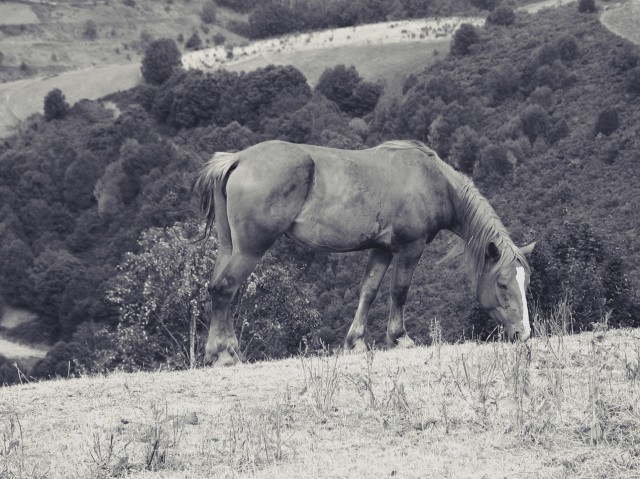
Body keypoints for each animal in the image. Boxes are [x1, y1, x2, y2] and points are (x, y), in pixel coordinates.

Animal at [194, 140, 536, 368]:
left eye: (526, 283)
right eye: (503, 284)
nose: (524, 333)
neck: (432, 179)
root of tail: (237, 158)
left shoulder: (381, 249)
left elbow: (368, 291)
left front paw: (355, 342)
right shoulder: (409, 247)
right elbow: (399, 291)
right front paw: (399, 338)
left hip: (230, 247)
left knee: (219, 290)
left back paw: (223, 351)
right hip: (250, 249)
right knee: (225, 289)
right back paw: (223, 354)